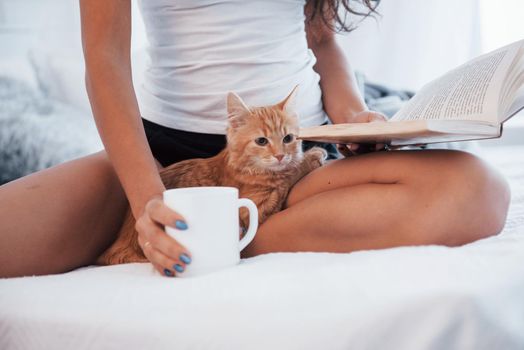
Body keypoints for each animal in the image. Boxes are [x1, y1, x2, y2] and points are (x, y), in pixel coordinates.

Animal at [97, 87, 328, 266]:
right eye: (262, 141)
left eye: (288, 138)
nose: (280, 155)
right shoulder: (255, 209)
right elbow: (287, 176)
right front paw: (310, 158)